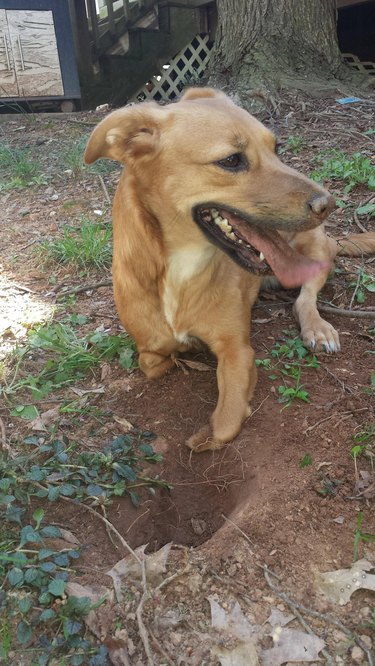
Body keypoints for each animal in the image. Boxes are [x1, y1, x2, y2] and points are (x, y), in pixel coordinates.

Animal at [85, 88, 375, 448]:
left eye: (277, 148)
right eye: (231, 160)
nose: (328, 204)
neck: (181, 269)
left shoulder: (238, 353)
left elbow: (224, 424)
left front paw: (204, 436)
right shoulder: (148, 349)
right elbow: (154, 360)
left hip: (315, 248)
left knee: (305, 297)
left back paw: (317, 328)